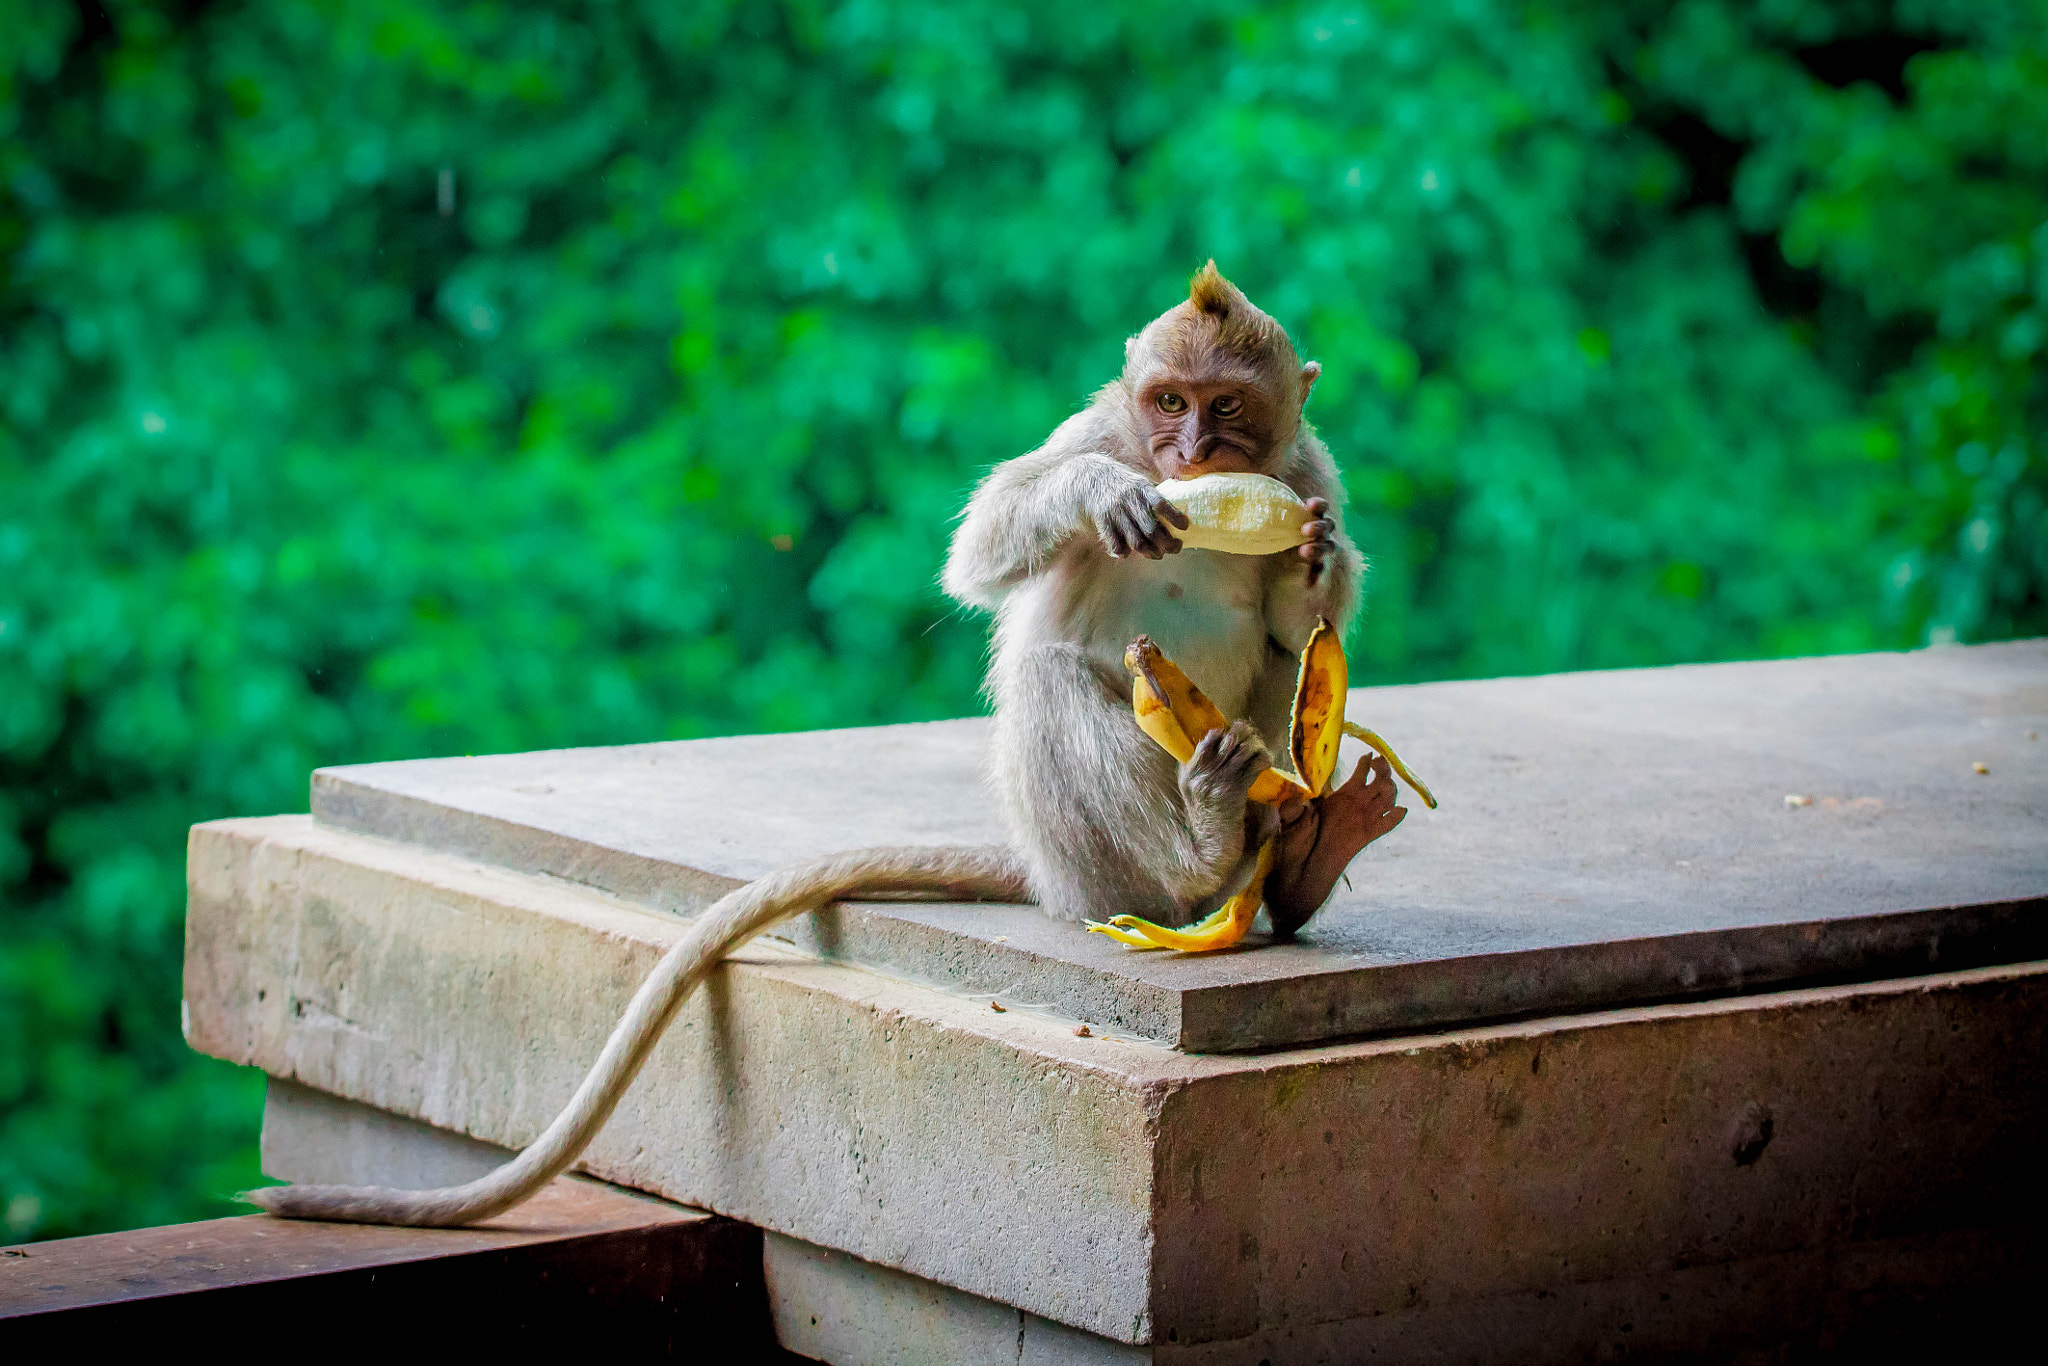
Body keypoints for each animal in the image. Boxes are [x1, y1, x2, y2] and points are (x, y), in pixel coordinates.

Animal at [245, 264, 1408, 1228]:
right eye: (1167, 402)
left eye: (1227, 406)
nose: (1191, 455)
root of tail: (1048, 872)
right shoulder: (1099, 430)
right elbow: (987, 542)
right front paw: (1100, 501)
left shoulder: (1310, 467)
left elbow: (1306, 618)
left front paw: (1312, 560)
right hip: (1087, 863)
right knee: (1052, 680)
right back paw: (1205, 853)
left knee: (1291, 677)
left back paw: (1299, 855)